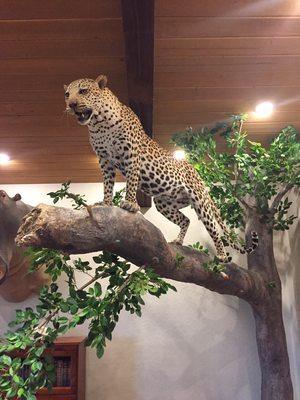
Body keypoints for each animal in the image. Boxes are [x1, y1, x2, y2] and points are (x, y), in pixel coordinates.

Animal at [63, 75, 258, 262]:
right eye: (67, 94)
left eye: (83, 91)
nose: (71, 105)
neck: (99, 125)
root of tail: (198, 175)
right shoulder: (104, 161)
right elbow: (108, 184)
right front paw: (106, 203)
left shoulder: (131, 154)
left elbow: (131, 181)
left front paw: (130, 204)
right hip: (163, 202)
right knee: (186, 219)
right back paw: (178, 241)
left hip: (199, 200)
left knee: (214, 229)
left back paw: (222, 255)